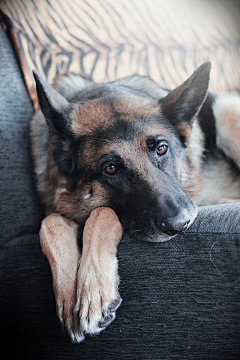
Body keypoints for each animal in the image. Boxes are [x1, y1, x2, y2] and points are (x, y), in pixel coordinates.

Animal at [30, 62, 240, 344]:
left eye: (161, 149)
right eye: (111, 169)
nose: (181, 224)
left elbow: (102, 213)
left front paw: (93, 290)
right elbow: (50, 223)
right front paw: (67, 294)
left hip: (226, 109)